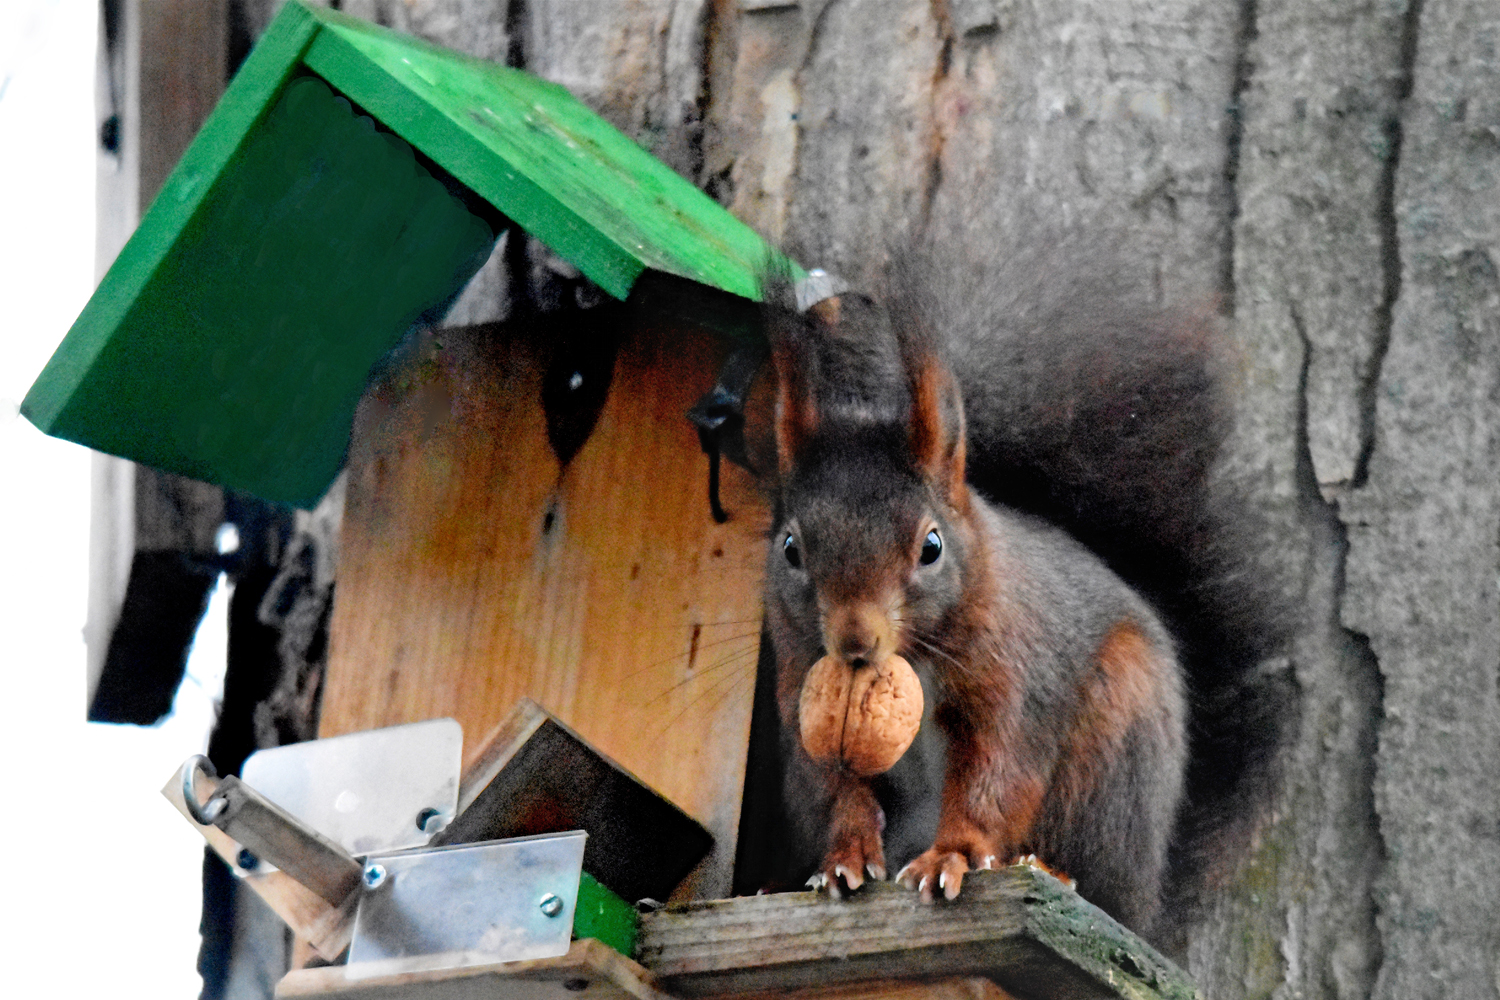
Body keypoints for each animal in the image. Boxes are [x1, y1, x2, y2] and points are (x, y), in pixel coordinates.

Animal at [762, 236, 1290, 941]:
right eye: (792, 548)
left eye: (931, 547)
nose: (853, 642)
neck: (917, 658)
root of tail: (1149, 900)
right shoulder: (801, 684)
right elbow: (834, 783)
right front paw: (844, 856)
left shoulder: (1012, 680)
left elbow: (998, 773)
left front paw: (953, 858)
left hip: (1113, 747)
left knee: (1089, 868)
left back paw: (1057, 874)